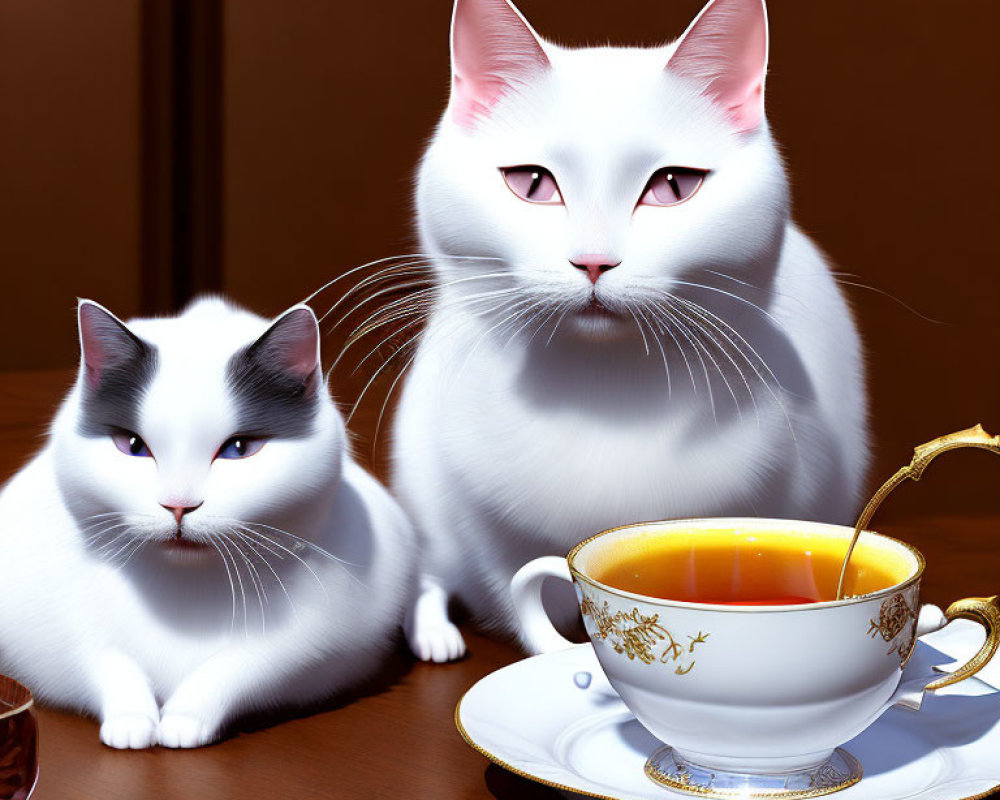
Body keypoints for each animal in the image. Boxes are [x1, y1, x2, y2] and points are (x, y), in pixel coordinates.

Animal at [0, 296, 414, 748]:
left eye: (239, 448)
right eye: (133, 446)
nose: (179, 506)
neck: (185, 592)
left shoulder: (319, 638)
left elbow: (248, 664)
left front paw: (187, 716)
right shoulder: (57, 627)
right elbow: (100, 657)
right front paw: (131, 715)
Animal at [394, 0, 872, 664]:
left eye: (673, 186)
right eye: (531, 183)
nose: (594, 261)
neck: (602, 393)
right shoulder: (476, 514)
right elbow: (512, 588)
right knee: (430, 571)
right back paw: (436, 634)